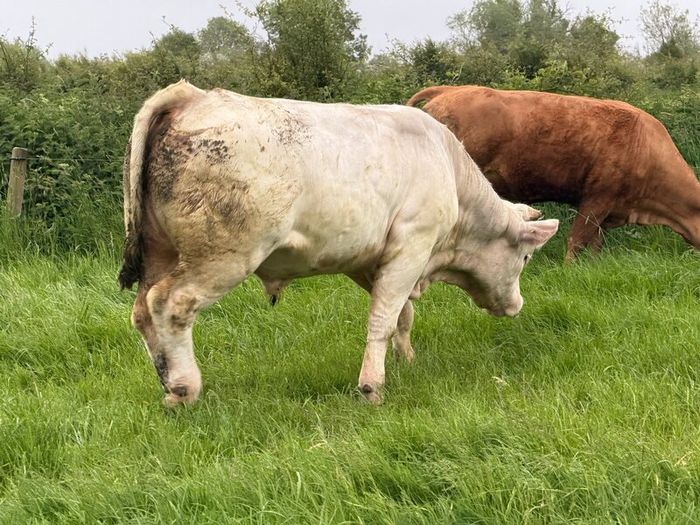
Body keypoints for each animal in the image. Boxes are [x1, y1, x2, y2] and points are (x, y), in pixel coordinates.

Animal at [119, 81, 558, 406]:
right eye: (524, 257)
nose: (516, 305)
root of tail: (192, 96)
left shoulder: (367, 261)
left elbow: (400, 315)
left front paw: (407, 360)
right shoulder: (412, 246)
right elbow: (382, 319)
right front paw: (372, 386)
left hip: (161, 252)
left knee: (142, 312)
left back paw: (167, 386)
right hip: (224, 255)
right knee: (170, 304)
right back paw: (184, 387)